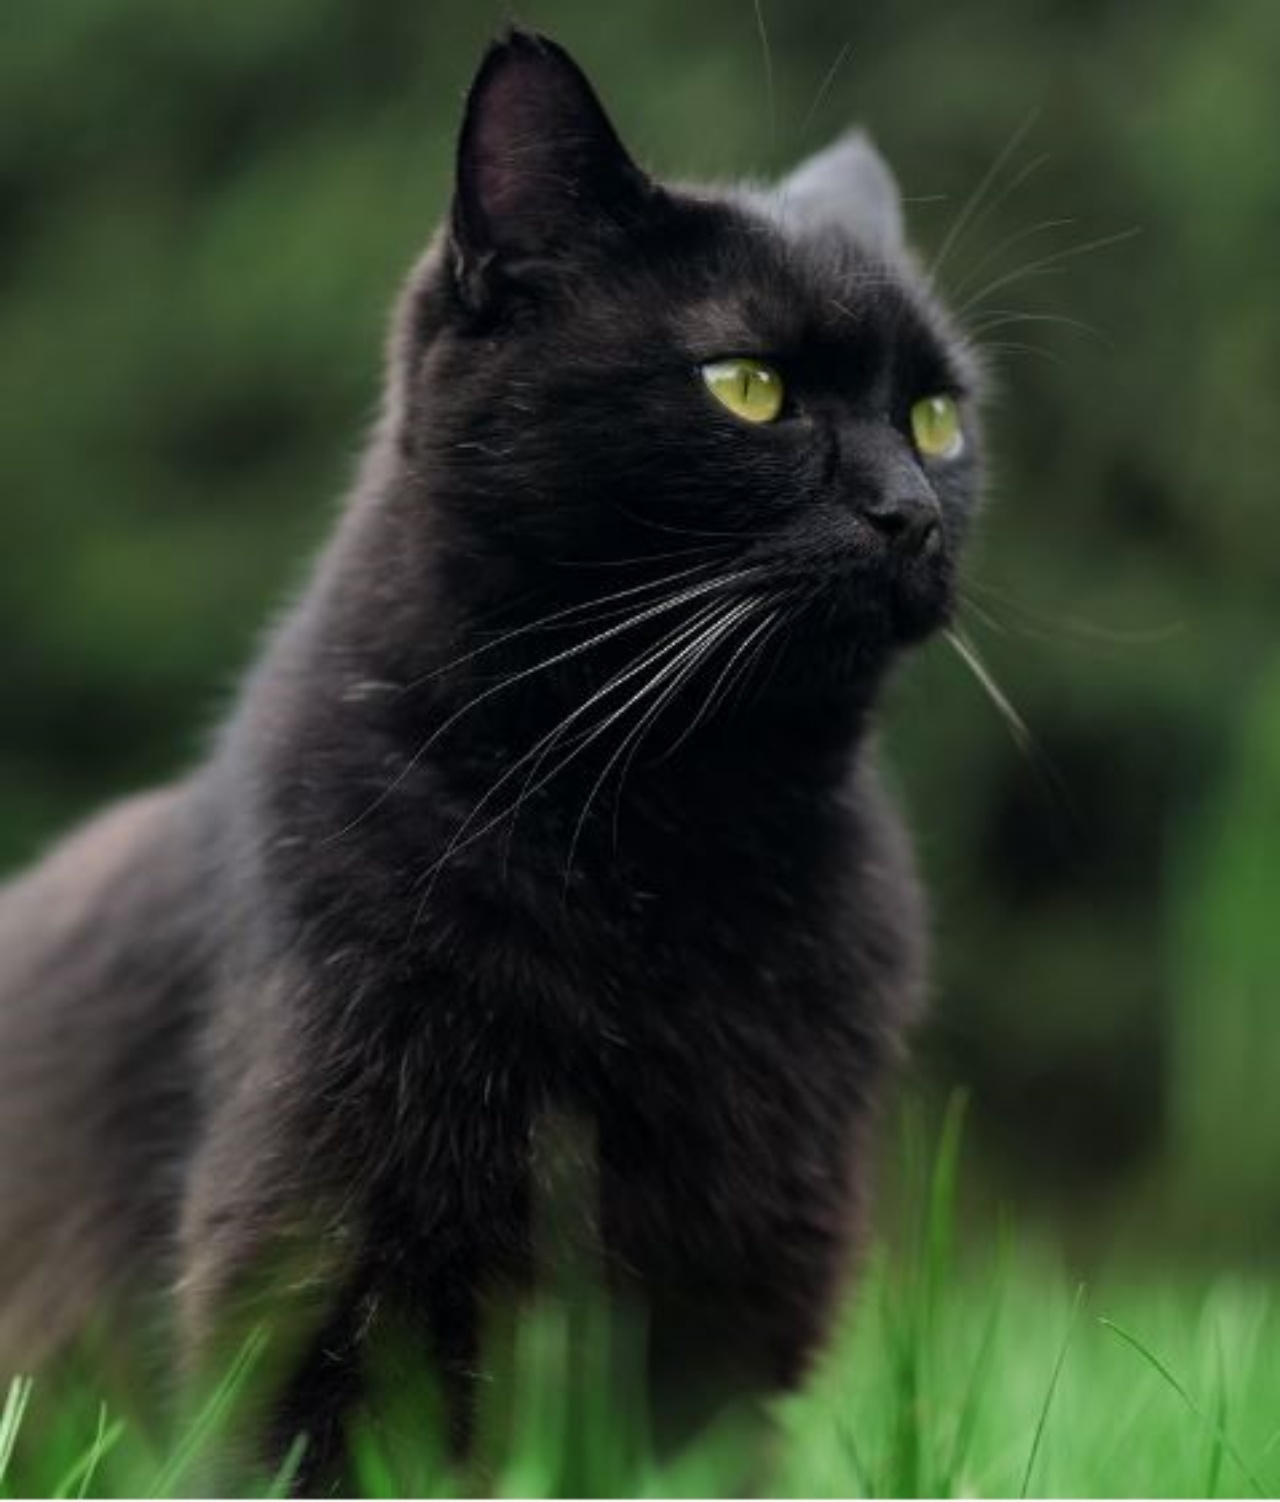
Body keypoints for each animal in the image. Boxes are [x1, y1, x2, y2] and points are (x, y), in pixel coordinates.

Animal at [0, 29, 979, 1483]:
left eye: (934, 417)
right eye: (747, 387)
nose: (910, 513)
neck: (668, 830)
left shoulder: (748, 1267)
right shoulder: (322, 1260)